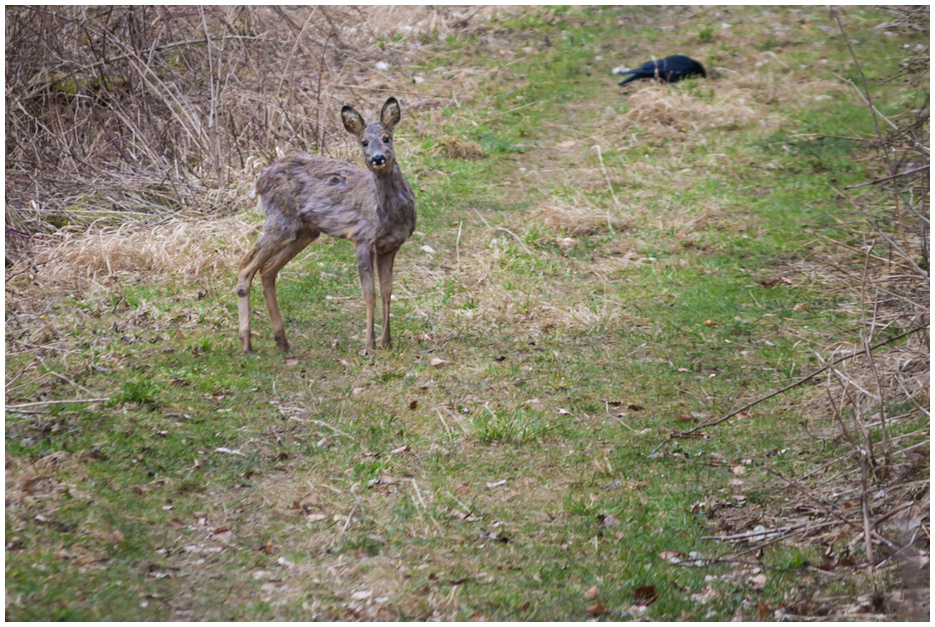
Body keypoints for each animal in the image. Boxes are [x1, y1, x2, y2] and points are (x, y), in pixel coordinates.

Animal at [238, 96, 416, 356]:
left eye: (386, 138)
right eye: (363, 142)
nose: (377, 159)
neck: (388, 215)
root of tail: (259, 180)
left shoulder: (390, 246)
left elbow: (387, 291)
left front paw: (387, 342)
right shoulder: (362, 238)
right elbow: (369, 293)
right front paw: (369, 346)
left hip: (305, 231)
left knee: (268, 270)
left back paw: (282, 342)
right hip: (281, 220)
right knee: (246, 265)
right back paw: (247, 344)